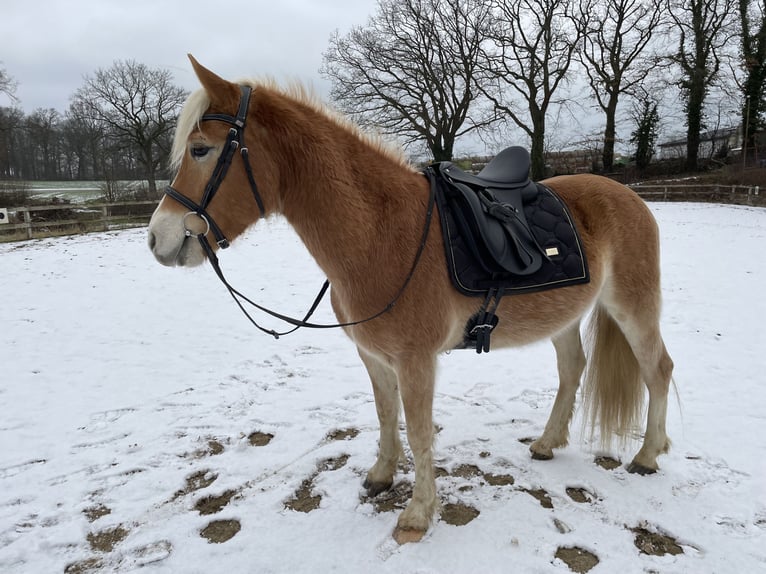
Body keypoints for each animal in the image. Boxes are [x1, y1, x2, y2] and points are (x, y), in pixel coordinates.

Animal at [147, 56, 676, 548]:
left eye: (200, 149)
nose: (157, 239)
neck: (381, 234)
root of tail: (627, 195)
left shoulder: (416, 360)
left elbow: (420, 431)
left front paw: (418, 515)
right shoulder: (375, 356)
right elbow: (386, 415)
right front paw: (382, 476)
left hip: (633, 306)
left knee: (657, 369)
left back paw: (647, 456)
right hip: (563, 316)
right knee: (573, 368)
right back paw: (547, 443)